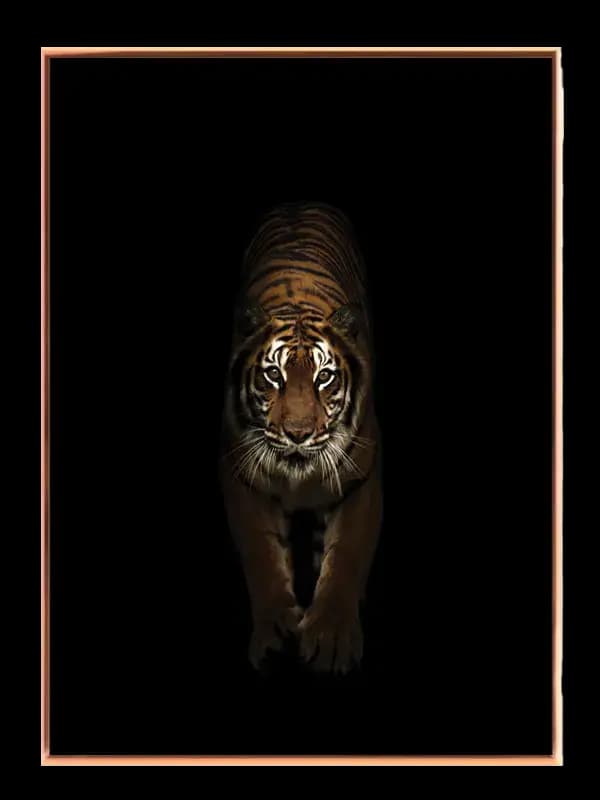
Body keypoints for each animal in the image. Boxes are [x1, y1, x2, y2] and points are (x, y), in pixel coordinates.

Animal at [220, 202, 382, 674]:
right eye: (273, 375)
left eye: (324, 377)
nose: (297, 433)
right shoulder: (242, 475)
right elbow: (261, 554)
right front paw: (275, 633)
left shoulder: (361, 478)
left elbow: (346, 554)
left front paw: (331, 639)